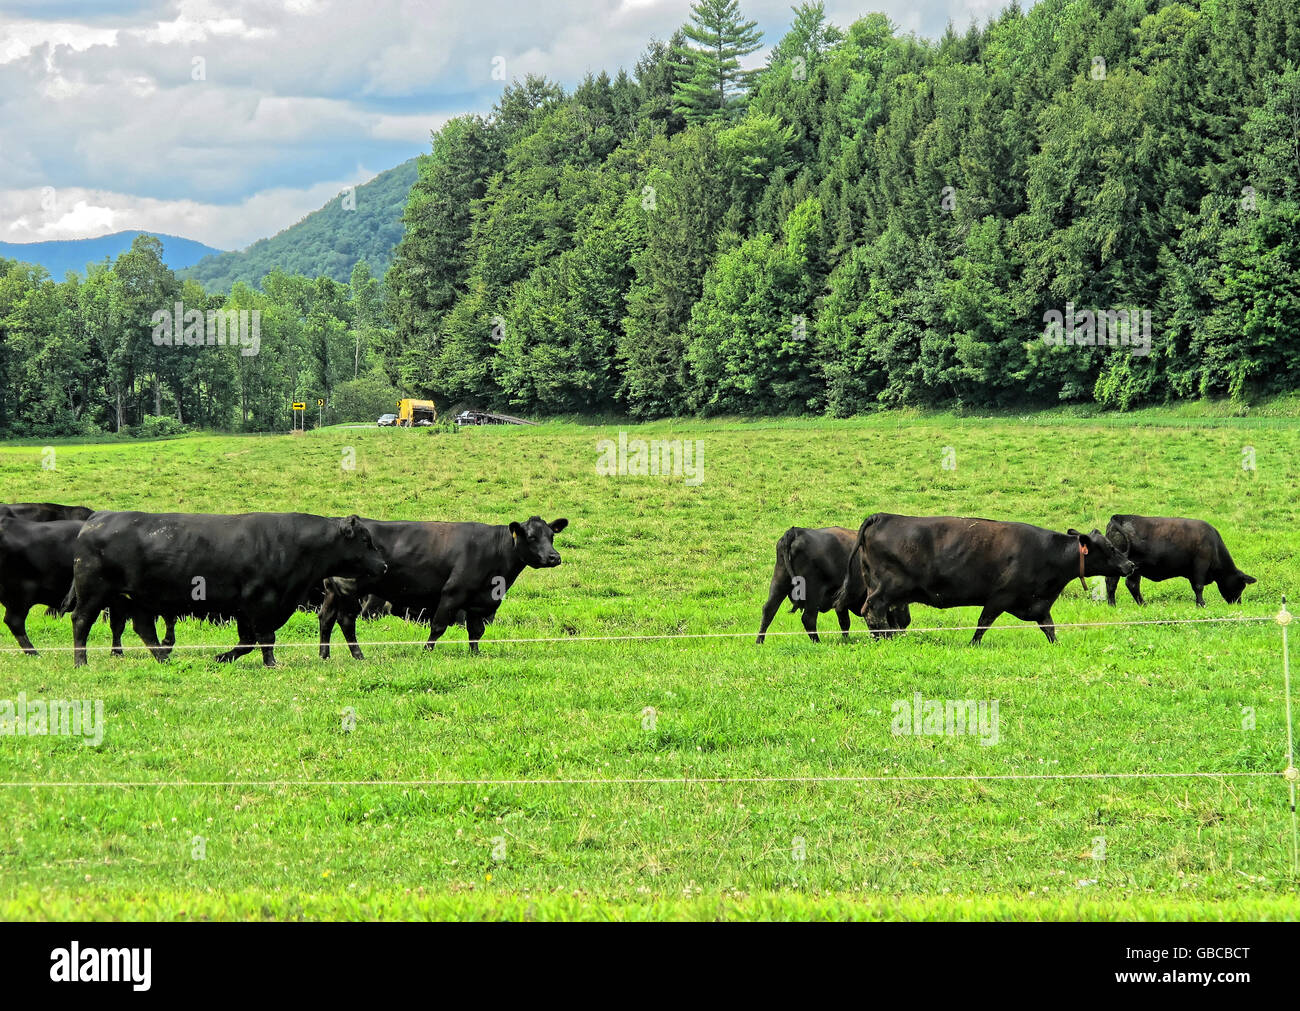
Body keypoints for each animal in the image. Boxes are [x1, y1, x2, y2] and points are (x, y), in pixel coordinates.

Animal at [71, 509, 384, 665]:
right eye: (365, 540)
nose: (383, 565)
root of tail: (97, 517)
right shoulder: (261, 603)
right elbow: (266, 638)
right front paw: (271, 663)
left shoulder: (247, 609)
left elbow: (247, 642)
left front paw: (222, 656)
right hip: (93, 592)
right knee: (81, 621)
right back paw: (80, 661)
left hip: (134, 598)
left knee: (144, 629)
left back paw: (164, 657)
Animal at [317, 517, 566, 657]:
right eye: (531, 537)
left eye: (551, 536)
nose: (554, 557)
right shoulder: (452, 594)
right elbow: (438, 626)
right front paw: (426, 651)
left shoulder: (478, 602)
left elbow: (476, 632)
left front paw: (475, 654)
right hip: (351, 590)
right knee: (346, 620)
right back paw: (358, 654)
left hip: (332, 591)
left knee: (326, 618)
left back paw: (324, 654)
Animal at [759, 524, 909, 641]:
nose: (906, 622)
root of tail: (796, 532)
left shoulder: (841, 601)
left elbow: (844, 622)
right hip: (813, 591)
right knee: (808, 618)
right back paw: (817, 642)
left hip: (779, 582)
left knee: (769, 610)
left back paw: (759, 641)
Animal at [837, 511, 1133, 647]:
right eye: (1110, 548)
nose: (1130, 564)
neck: (1048, 553)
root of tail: (883, 516)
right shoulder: (1000, 596)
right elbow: (983, 622)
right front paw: (973, 645)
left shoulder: (1039, 604)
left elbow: (1049, 627)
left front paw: (1057, 645)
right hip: (886, 588)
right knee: (872, 611)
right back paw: (882, 639)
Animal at [1102, 517, 1253, 602]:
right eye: (1241, 586)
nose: (1238, 603)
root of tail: (1119, 517)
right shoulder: (1201, 564)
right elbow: (1199, 587)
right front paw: (1201, 605)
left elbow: (1195, 587)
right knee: (1114, 583)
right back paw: (1114, 605)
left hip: (1134, 567)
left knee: (1130, 584)